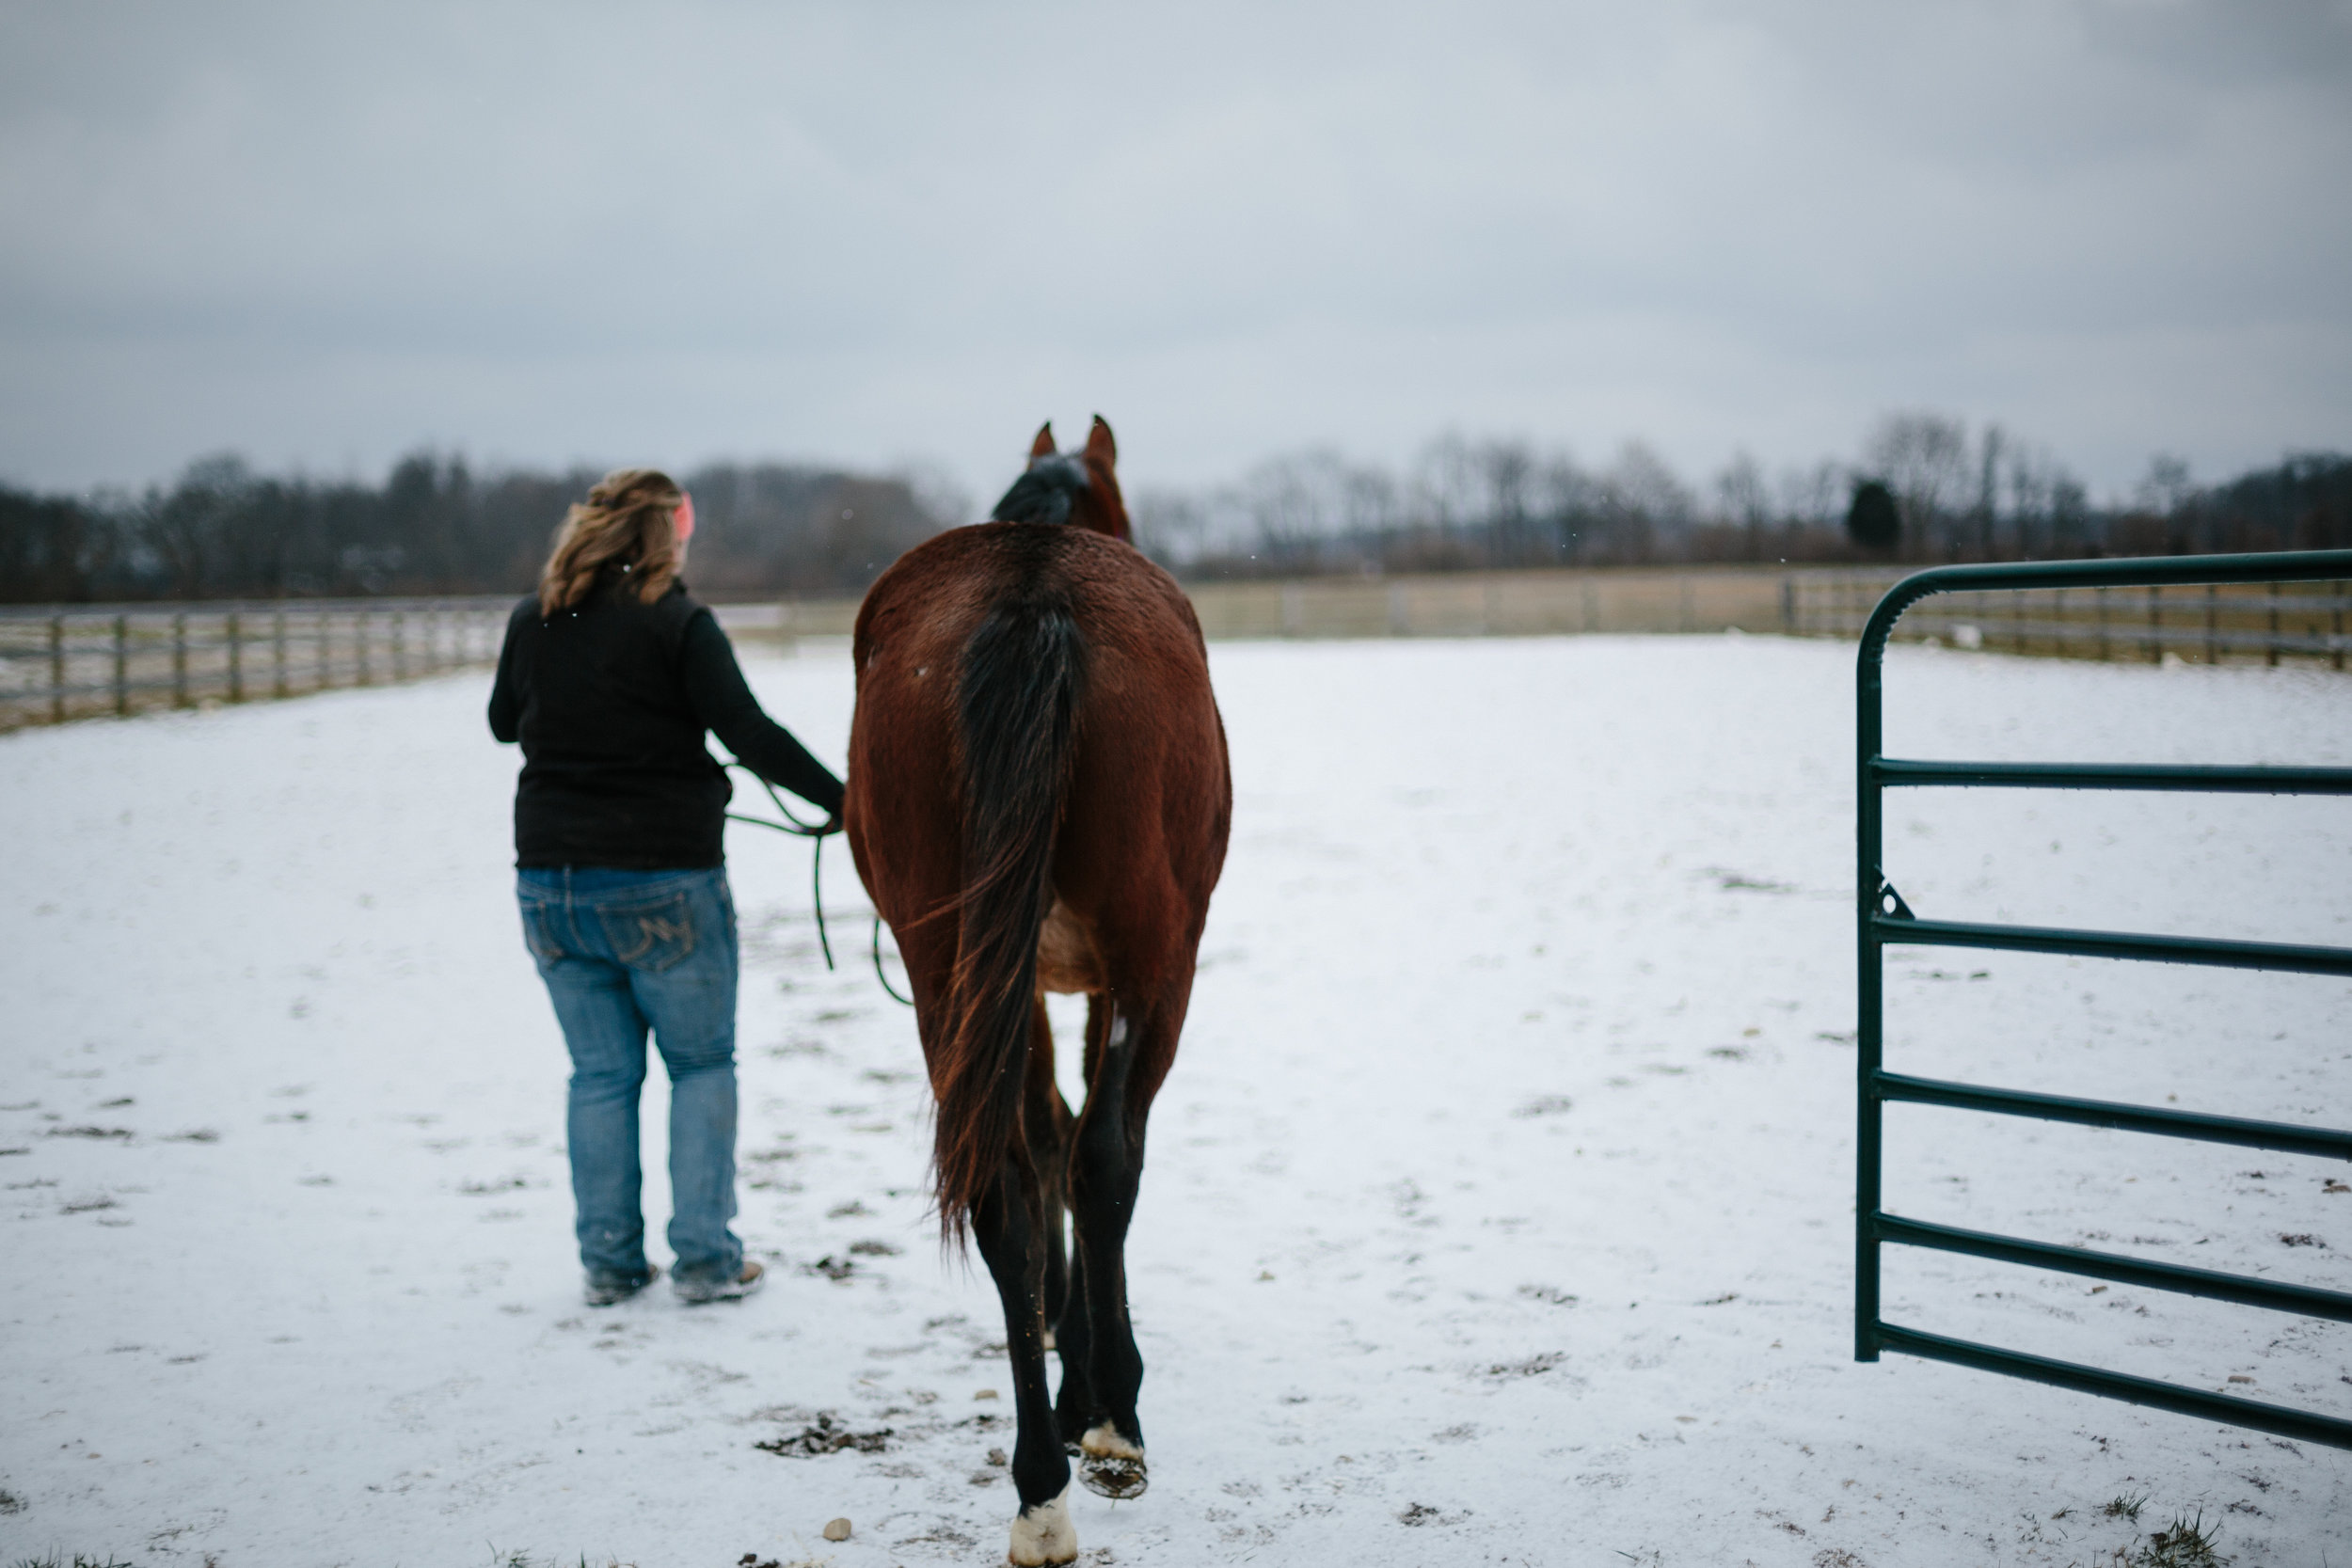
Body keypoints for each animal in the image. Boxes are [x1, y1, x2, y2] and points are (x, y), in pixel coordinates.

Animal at [842, 416, 1232, 1568]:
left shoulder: (1008, 989)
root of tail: (1032, 591)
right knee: (1105, 1160)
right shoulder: (1110, 979)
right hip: (1157, 959)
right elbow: (1088, 1145)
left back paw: (1038, 1486)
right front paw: (1093, 1373)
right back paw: (1108, 1428)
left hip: (946, 972)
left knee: (1001, 1188)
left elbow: (1041, 1133)